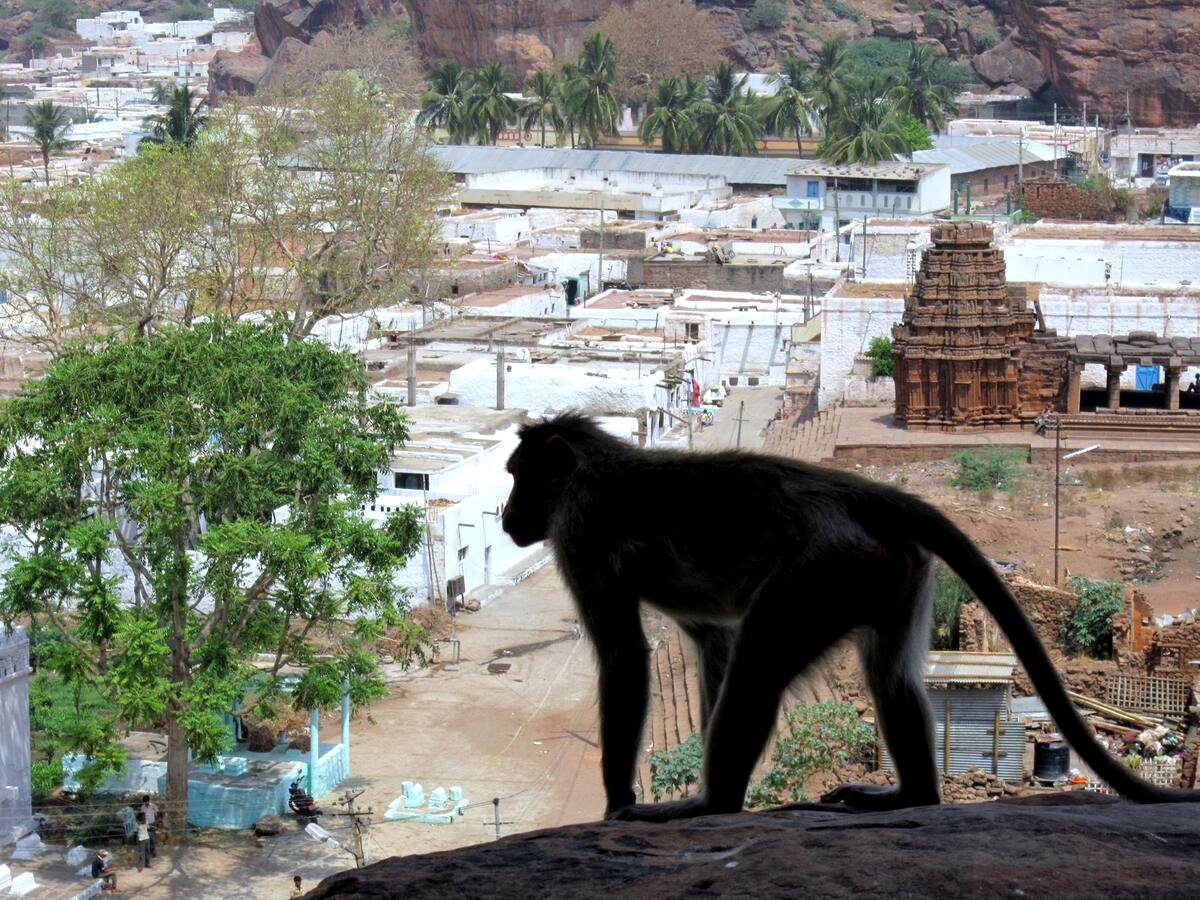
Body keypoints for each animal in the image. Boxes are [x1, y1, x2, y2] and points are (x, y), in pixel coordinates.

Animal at [500, 413, 1199, 822]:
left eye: (517, 477)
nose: (506, 517)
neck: (592, 466)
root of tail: (854, 490)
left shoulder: (579, 532)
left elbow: (625, 656)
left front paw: (619, 800)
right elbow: (713, 641)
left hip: (823, 569)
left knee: (760, 663)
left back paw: (709, 804)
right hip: (889, 570)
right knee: (889, 676)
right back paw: (911, 795)